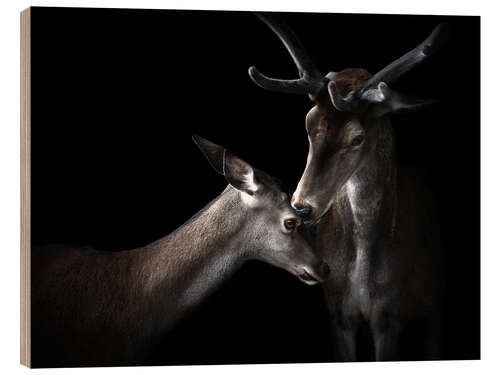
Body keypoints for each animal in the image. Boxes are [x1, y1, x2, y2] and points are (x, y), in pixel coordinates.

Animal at [248, 13, 448, 362]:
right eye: (308, 123)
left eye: (357, 137)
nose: (302, 206)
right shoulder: (337, 312)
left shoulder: (391, 316)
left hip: (435, 303)